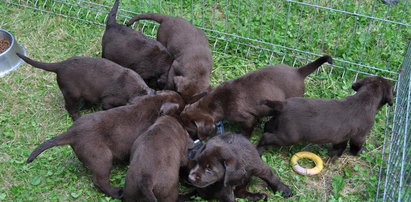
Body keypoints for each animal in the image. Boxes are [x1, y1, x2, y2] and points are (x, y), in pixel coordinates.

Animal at [258, 76, 396, 159]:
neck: (365, 98)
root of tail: (283, 105)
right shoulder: (359, 136)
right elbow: (355, 146)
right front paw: (359, 152)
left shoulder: (342, 136)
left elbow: (339, 146)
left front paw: (334, 155)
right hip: (288, 136)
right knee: (266, 137)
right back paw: (259, 150)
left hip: (277, 122)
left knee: (267, 126)